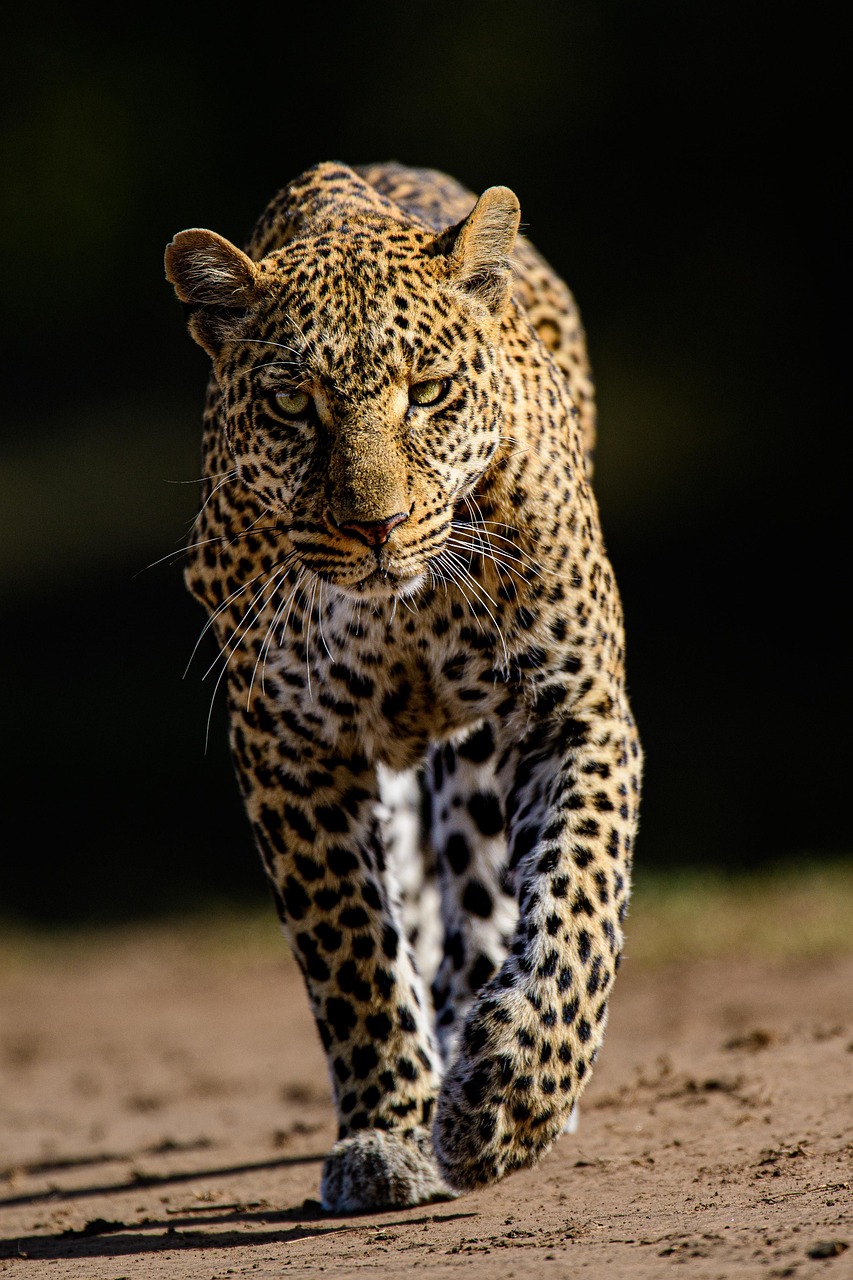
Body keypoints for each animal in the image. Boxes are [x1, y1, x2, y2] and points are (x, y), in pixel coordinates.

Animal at [164, 160, 642, 1212]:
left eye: (427, 393)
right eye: (292, 407)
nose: (374, 526)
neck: (401, 614)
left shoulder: (573, 710)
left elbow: (577, 905)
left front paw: (511, 1097)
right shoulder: (289, 746)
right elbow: (351, 947)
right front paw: (387, 1133)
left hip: (477, 758)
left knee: (486, 893)